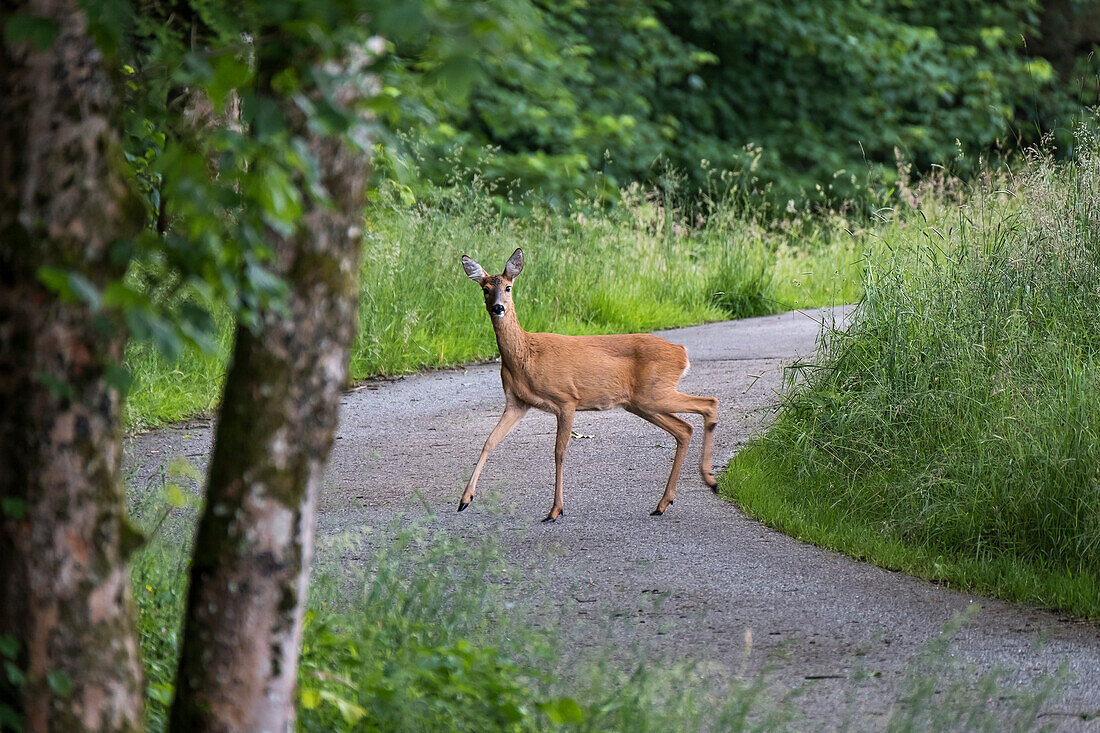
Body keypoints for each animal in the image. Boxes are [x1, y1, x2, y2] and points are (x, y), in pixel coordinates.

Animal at [453, 248, 717, 521]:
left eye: (508, 287)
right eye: (485, 288)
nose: (498, 307)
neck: (527, 355)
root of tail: (682, 352)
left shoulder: (566, 399)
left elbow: (559, 452)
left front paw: (555, 509)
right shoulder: (517, 402)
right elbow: (489, 442)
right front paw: (464, 499)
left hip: (654, 393)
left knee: (708, 403)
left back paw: (710, 480)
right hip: (642, 403)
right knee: (684, 429)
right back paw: (663, 503)